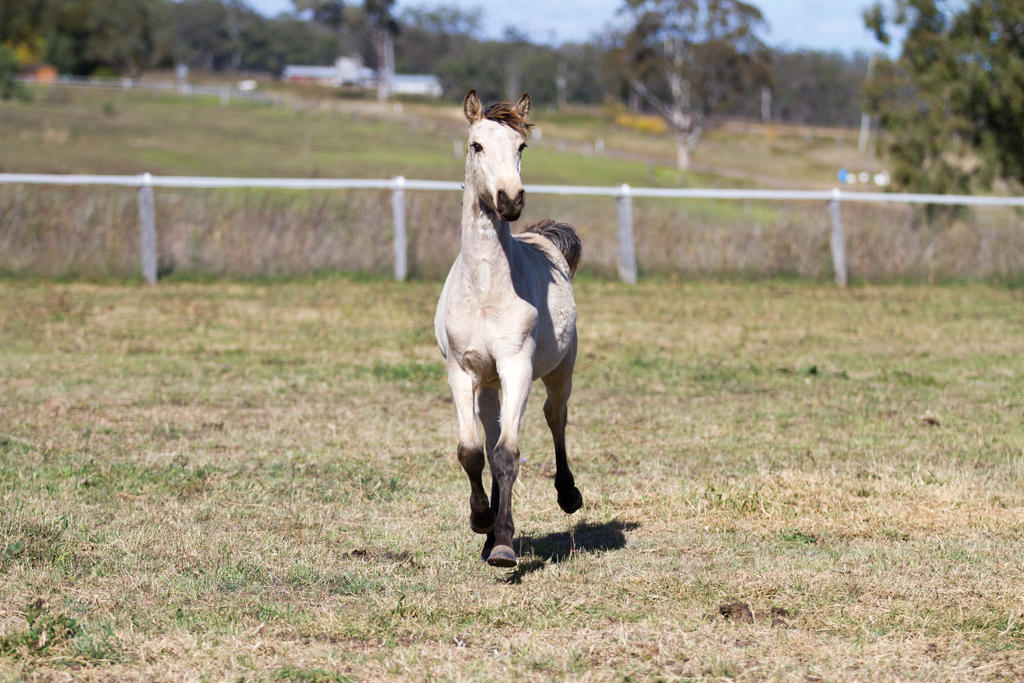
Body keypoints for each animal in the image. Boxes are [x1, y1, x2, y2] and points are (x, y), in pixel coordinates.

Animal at [432, 92, 585, 573]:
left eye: (521, 146)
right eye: (476, 145)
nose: (510, 199)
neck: (486, 289)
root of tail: (544, 240)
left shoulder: (517, 366)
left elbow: (507, 454)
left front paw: (502, 545)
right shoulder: (462, 371)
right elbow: (473, 451)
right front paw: (482, 523)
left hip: (559, 371)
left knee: (555, 417)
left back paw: (568, 495)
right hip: (489, 384)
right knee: (492, 431)